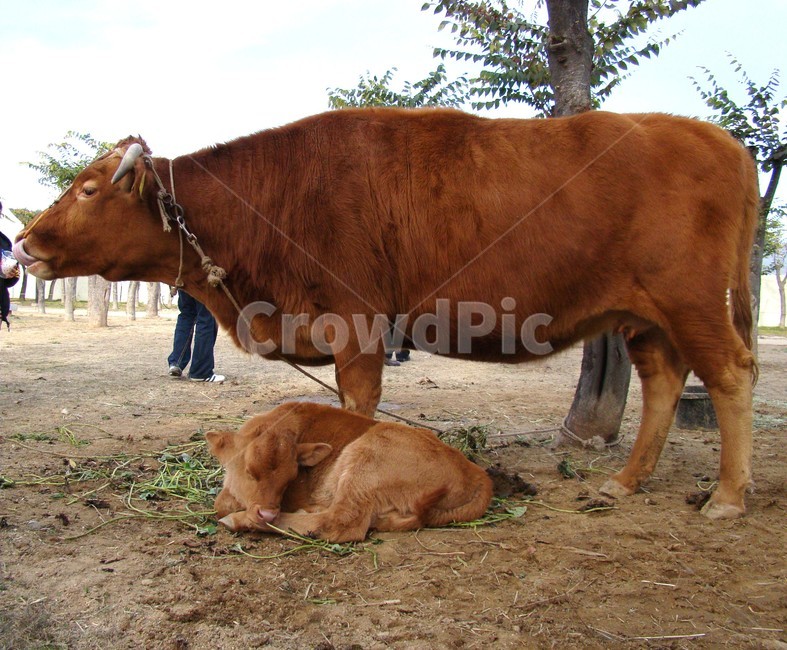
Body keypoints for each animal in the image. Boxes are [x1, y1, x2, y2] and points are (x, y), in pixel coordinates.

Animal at [13, 108, 758, 519]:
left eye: (87, 187)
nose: (23, 242)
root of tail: (719, 140)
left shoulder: (358, 326)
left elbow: (356, 408)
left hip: (691, 304)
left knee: (729, 376)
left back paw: (727, 496)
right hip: (644, 317)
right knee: (664, 383)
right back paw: (625, 483)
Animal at [206, 401, 494, 542]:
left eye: (291, 477)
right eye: (249, 470)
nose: (268, 513)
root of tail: (476, 473)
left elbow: (222, 503)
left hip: (365, 460)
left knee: (340, 523)